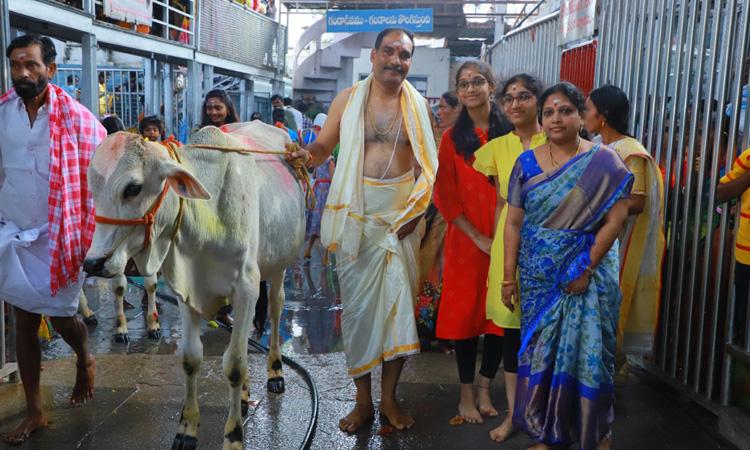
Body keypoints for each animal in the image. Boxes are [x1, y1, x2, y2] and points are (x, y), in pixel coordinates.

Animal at [82, 123, 306, 450]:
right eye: (93, 189)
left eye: (133, 188)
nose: (93, 264)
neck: (207, 215)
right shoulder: (187, 291)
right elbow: (191, 358)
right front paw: (186, 429)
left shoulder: (247, 288)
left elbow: (234, 364)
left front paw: (234, 436)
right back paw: (244, 396)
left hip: (278, 268)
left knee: (276, 311)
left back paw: (275, 372)